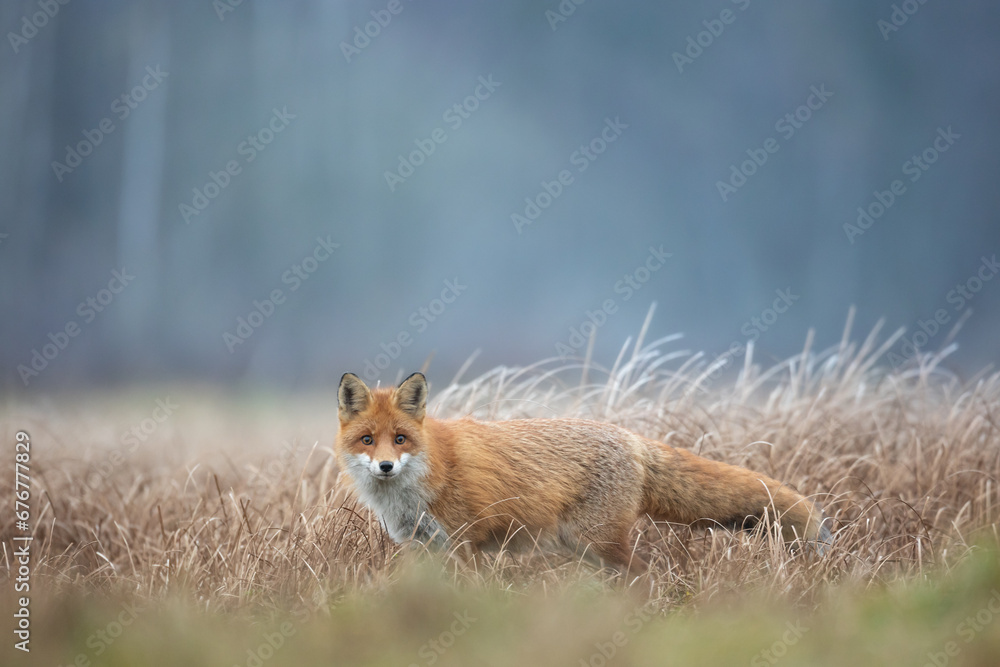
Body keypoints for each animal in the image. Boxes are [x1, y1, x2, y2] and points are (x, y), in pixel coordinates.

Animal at [335, 372, 831, 574]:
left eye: (401, 439)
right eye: (368, 440)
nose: (385, 466)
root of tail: (630, 437)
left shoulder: (465, 542)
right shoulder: (422, 547)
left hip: (596, 542)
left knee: (646, 575)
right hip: (583, 548)